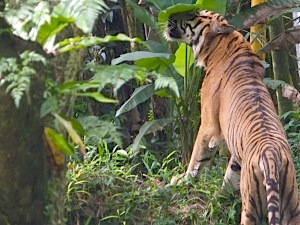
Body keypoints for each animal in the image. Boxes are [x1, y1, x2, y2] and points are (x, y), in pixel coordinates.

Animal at [165, 8, 300, 225]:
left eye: (193, 14)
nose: (169, 18)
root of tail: (271, 155)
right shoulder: (237, 152)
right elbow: (231, 173)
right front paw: (219, 196)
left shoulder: (208, 126)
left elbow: (197, 157)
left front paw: (183, 179)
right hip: (292, 205)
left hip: (252, 206)